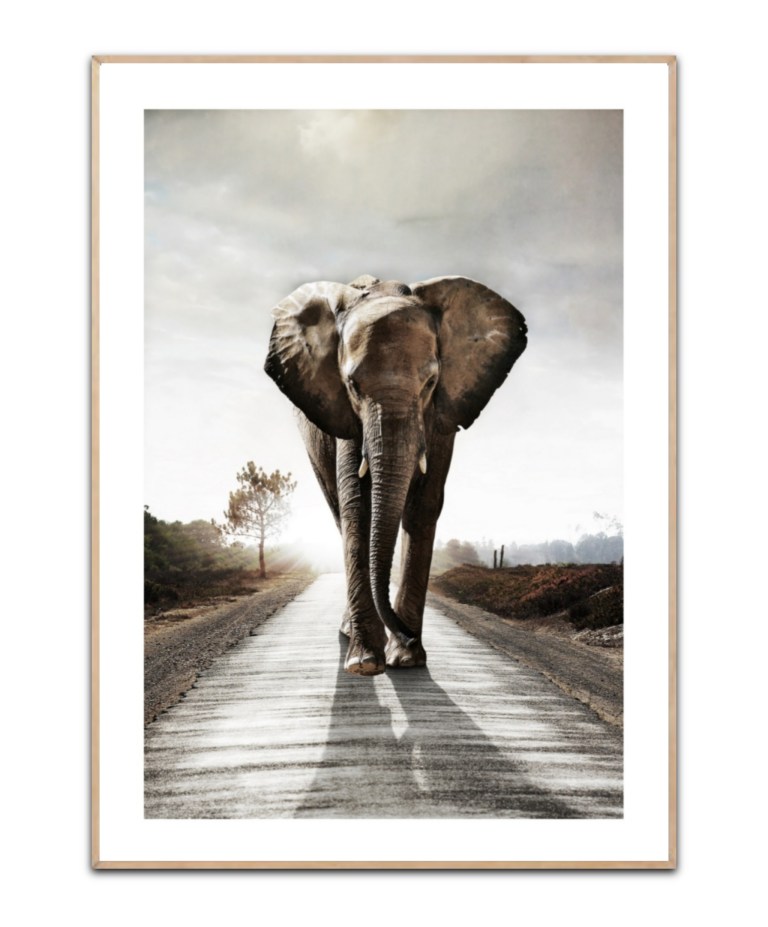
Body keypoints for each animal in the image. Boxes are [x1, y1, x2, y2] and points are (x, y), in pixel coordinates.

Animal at [264, 274, 527, 675]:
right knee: (339, 512)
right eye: (352, 385)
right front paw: (365, 664)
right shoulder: (344, 415)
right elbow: (358, 506)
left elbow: (423, 506)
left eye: (431, 382)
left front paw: (406, 660)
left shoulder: (442, 414)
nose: (405, 634)